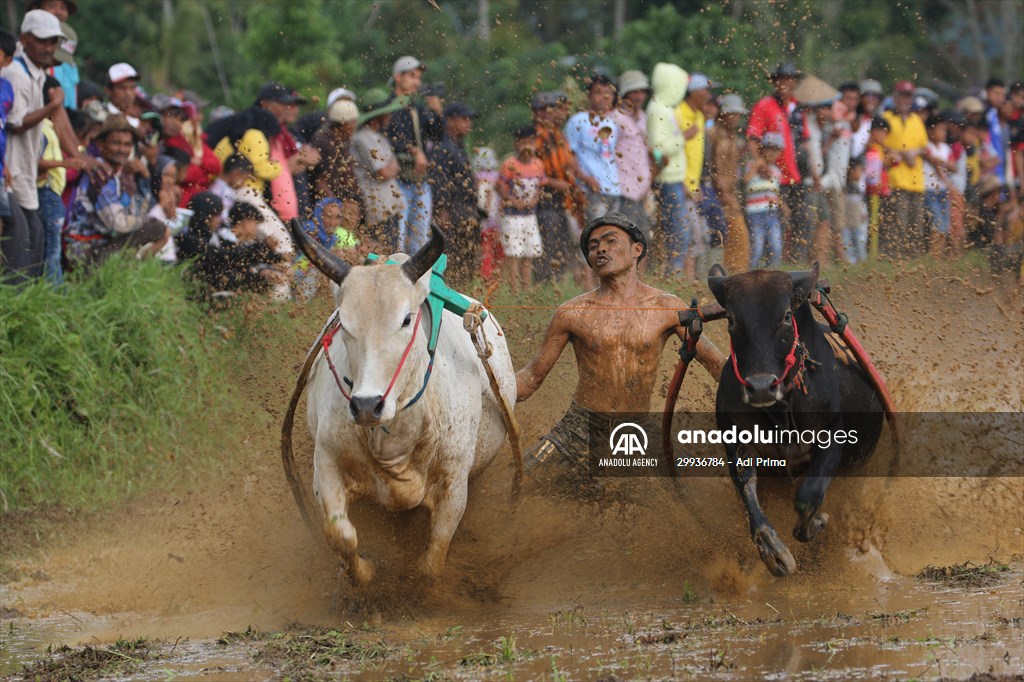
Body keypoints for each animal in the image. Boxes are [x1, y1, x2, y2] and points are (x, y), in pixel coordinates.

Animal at [284, 220, 516, 581]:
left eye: (406, 319)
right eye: (343, 324)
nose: (367, 405)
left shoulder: (454, 486)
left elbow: (431, 563)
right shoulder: (327, 462)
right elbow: (340, 535)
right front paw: (364, 572)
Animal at [708, 262, 884, 577]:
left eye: (786, 315)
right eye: (730, 318)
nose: (761, 386)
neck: (782, 413)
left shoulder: (832, 437)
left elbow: (808, 495)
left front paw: (817, 522)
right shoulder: (737, 443)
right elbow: (750, 499)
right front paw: (774, 552)